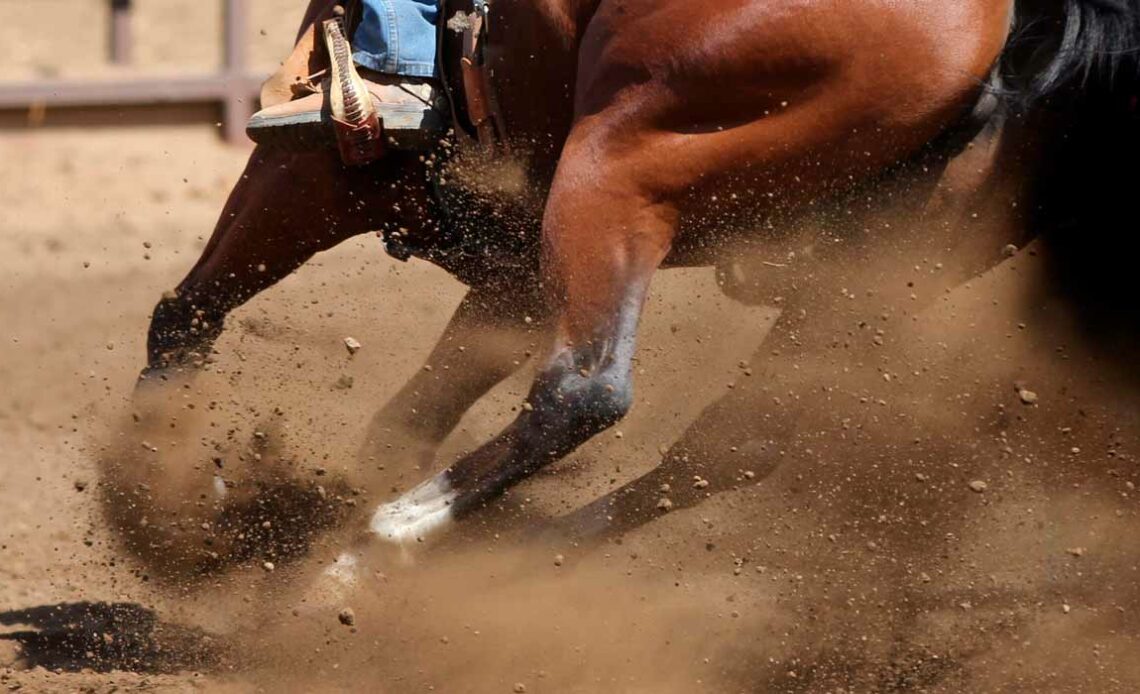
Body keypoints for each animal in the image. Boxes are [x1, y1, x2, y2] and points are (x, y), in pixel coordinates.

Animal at [131, 0, 1140, 576]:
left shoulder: (324, 154)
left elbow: (189, 311)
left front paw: (148, 490)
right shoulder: (511, 269)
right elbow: (411, 413)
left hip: (624, 162)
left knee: (586, 392)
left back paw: (381, 546)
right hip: (869, 271)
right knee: (734, 444)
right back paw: (515, 554)